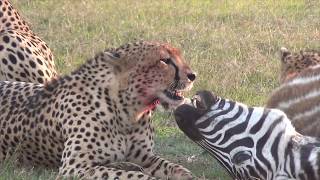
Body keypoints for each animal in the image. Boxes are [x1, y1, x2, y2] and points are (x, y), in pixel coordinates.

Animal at [0, 41, 196, 180]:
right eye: (164, 60)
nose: (193, 75)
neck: (128, 110)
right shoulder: (74, 168)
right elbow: (133, 177)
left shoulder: (145, 157)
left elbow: (174, 167)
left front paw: (188, 176)